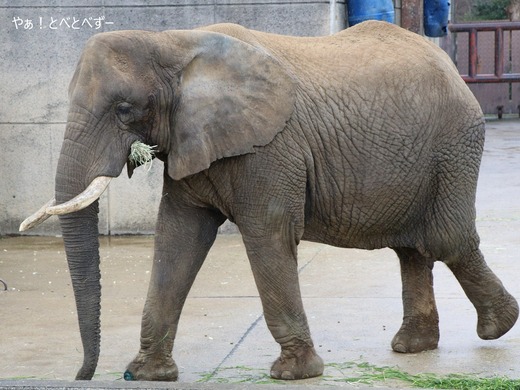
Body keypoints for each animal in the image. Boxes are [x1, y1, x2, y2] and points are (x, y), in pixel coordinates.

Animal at [21, 20, 520, 380]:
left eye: (124, 110)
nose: (82, 376)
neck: (171, 42)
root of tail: (451, 67)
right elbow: (178, 237)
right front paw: (146, 375)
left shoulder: (270, 149)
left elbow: (268, 232)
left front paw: (294, 373)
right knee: (411, 248)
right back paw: (413, 347)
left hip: (453, 147)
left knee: (446, 240)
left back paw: (497, 327)